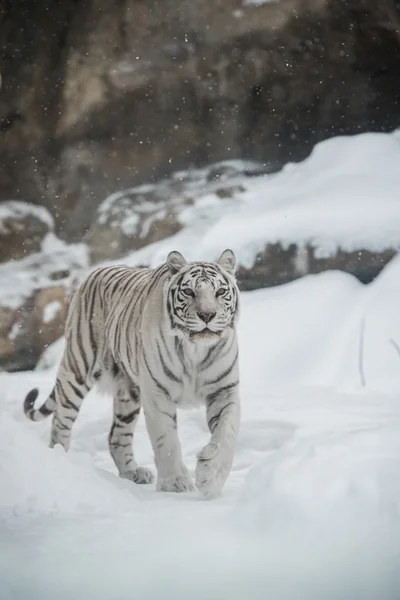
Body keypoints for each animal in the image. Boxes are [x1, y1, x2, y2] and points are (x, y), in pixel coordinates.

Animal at [24, 248, 241, 496]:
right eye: (189, 291)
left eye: (220, 291)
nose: (207, 315)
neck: (195, 349)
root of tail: (96, 270)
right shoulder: (157, 393)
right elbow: (166, 439)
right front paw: (175, 483)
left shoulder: (224, 390)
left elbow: (226, 433)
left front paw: (210, 477)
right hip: (77, 369)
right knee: (61, 421)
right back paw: (63, 461)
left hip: (128, 393)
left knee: (116, 437)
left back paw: (132, 473)